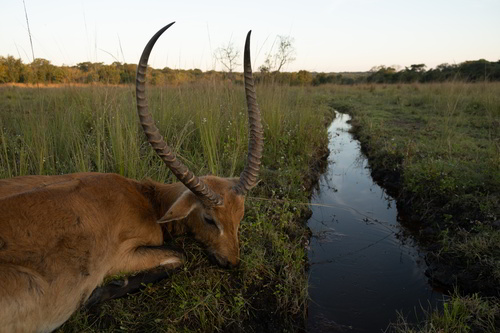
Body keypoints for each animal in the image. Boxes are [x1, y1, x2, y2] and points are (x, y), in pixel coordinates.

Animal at [0, 22, 264, 332]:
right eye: (210, 219)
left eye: (240, 216)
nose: (232, 262)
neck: (147, 199)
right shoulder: (122, 257)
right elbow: (180, 256)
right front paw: (99, 294)